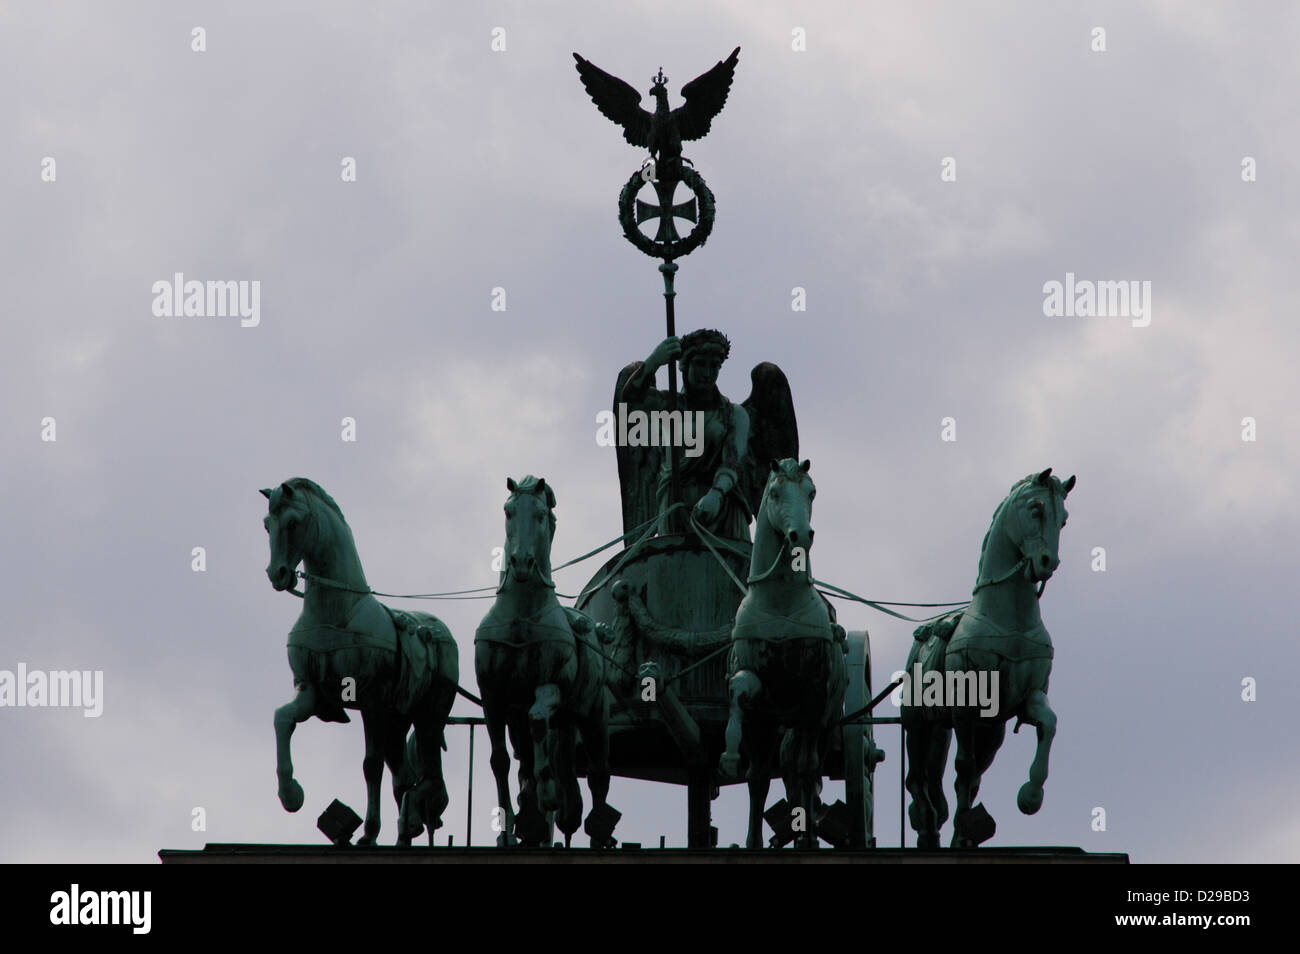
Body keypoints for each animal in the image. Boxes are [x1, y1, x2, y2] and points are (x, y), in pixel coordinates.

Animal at [261, 480, 460, 847]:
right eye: (267, 525)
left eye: (293, 523)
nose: (277, 574)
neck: (335, 609)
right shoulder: (310, 692)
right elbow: (283, 719)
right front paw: (291, 794)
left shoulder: (371, 702)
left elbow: (371, 765)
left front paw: (369, 833)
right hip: (398, 719)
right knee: (403, 776)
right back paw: (405, 831)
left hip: (426, 715)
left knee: (423, 772)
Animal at [478, 478, 618, 852]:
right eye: (508, 511)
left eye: (541, 514)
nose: (521, 562)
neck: (521, 617)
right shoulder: (493, 699)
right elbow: (500, 761)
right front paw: (507, 832)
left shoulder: (548, 686)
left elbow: (539, 719)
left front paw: (548, 794)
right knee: (526, 761)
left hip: (592, 715)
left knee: (598, 774)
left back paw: (596, 833)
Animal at [722, 460, 842, 847]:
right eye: (775, 492)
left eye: (811, 492)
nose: (800, 536)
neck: (780, 603)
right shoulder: (760, 703)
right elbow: (757, 775)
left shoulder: (813, 699)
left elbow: (806, 769)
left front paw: (808, 837)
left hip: (819, 721)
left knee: (804, 769)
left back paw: (807, 835)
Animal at [904, 467, 1076, 847]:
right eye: (1036, 508)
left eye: (1064, 518)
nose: (1048, 563)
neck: (1009, 617)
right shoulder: (965, 707)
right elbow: (963, 770)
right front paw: (962, 827)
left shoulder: (1024, 699)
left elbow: (1049, 723)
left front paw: (1030, 795)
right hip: (919, 724)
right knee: (918, 779)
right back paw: (927, 825)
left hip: (985, 732)